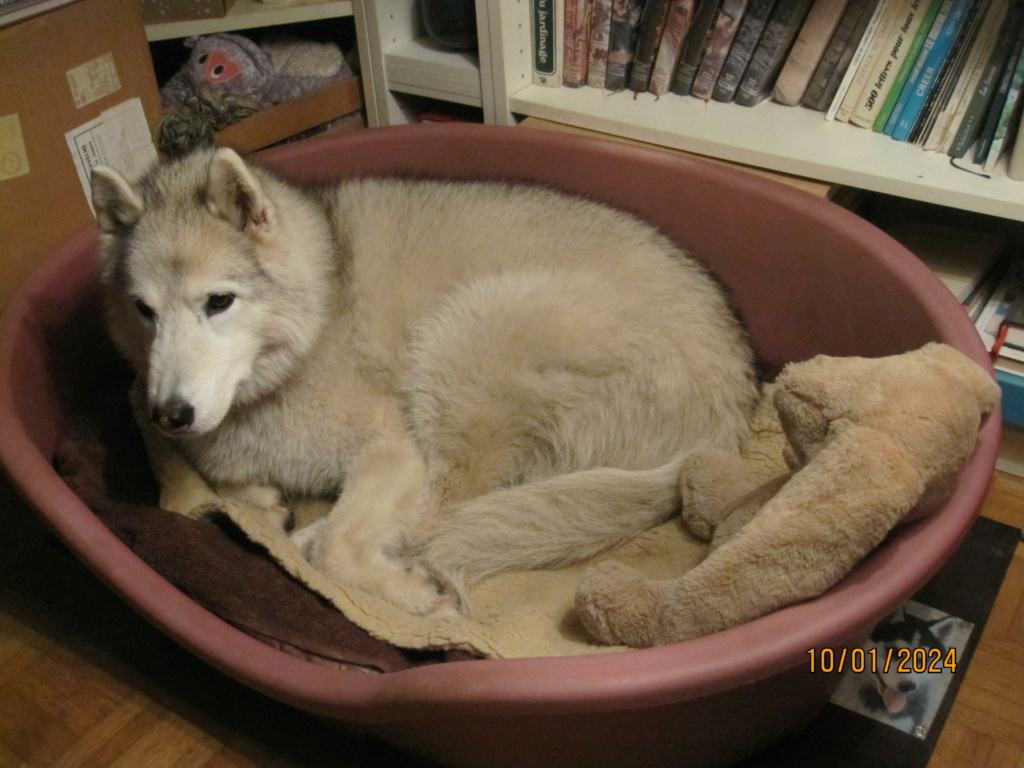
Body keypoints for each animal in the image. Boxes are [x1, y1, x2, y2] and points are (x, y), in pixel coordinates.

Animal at [90, 147, 761, 618]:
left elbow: (342, 546)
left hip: (466, 333)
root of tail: (728, 419)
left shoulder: (394, 450)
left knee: (439, 513)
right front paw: (255, 498)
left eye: (219, 301)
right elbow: (203, 484)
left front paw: (403, 588)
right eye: (143, 310)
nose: (170, 414)